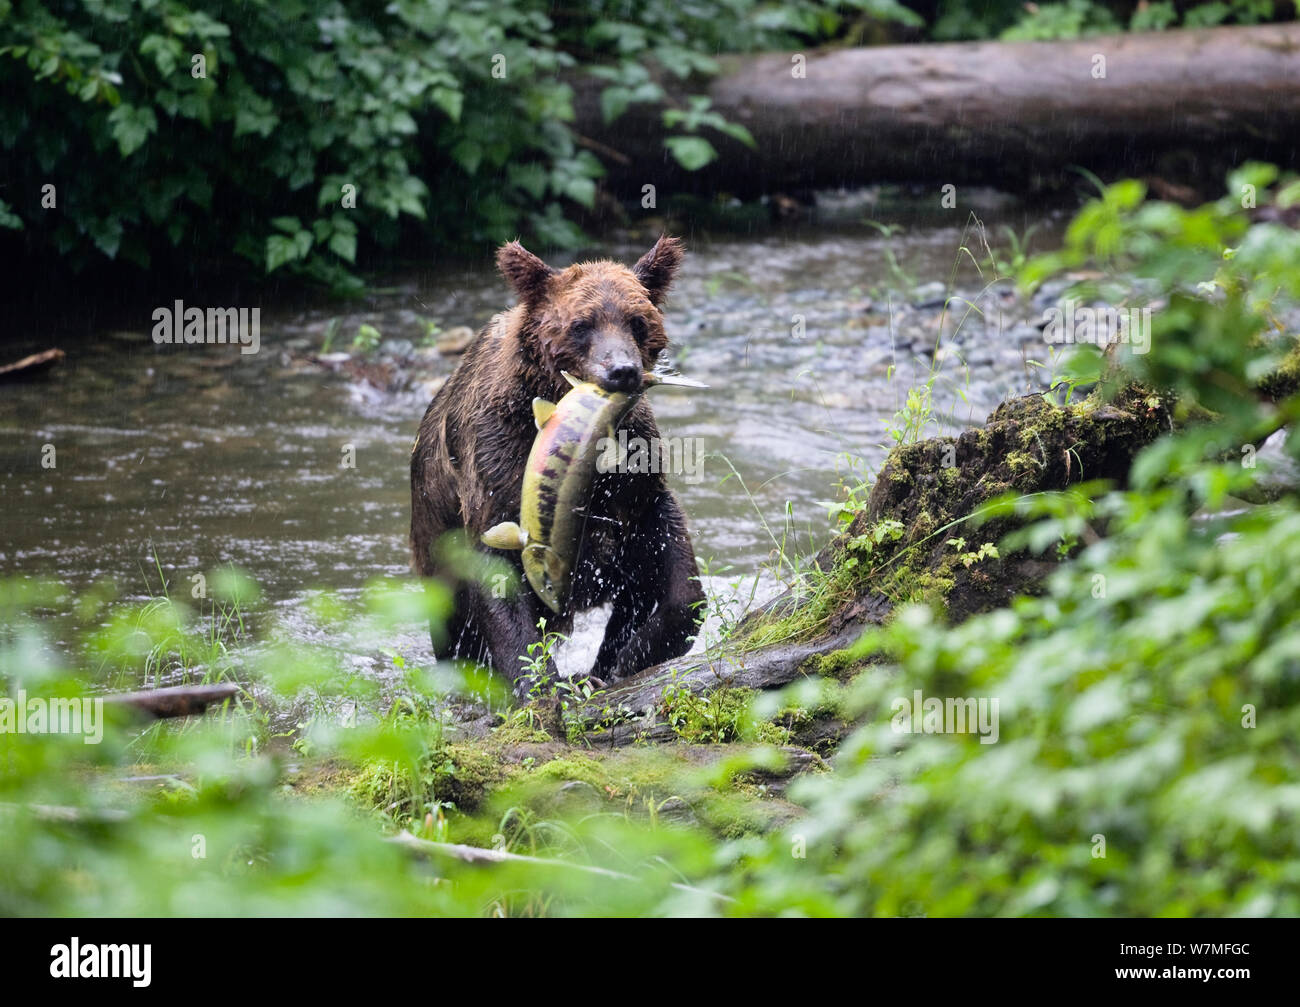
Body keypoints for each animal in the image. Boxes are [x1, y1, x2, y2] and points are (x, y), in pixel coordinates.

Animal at [409, 236, 705, 692]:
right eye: (581, 324)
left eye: (637, 321)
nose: (622, 370)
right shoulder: (495, 459)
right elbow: (498, 575)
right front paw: (539, 685)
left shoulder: (633, 475)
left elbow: (672, 578)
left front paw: (621, 661)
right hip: (434, 539)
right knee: (455, 629)